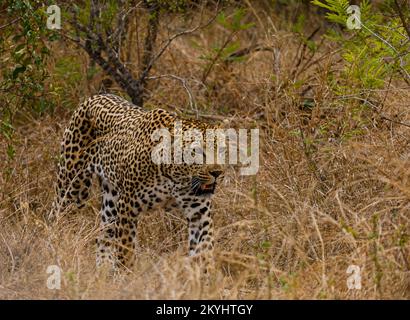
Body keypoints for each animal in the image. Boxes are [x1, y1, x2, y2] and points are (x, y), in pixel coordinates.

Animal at [51, 93, 226, 270]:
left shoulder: (199, 212)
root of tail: (96, 96)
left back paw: (104, 269)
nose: (217, 173)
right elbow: (125, 249)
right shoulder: (127, 207)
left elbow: (204, 248)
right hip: (72, 187)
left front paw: (205, 275)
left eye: (222, 150)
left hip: (111, 199)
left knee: (103, 236)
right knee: (56, 215)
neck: (176, 177)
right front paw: (126, 273)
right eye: (198, 151)